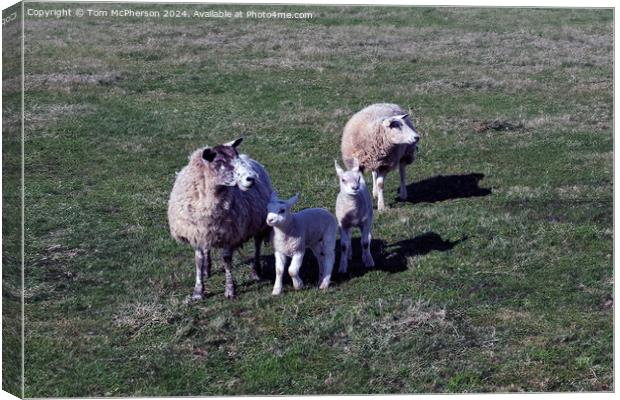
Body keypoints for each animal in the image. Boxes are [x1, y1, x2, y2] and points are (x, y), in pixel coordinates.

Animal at [167, 139, 272, 298]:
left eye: (236, 156)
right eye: (219, 161)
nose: (251, 178)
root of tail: (248, 157)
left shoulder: (229, 232)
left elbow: (226, 260)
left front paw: (229, 289)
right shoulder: (196, 232)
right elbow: (198, 260)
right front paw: (198, 291)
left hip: (258, 222)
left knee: (257, 244)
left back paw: (256, 270)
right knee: (207, 250)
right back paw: (207, 270)